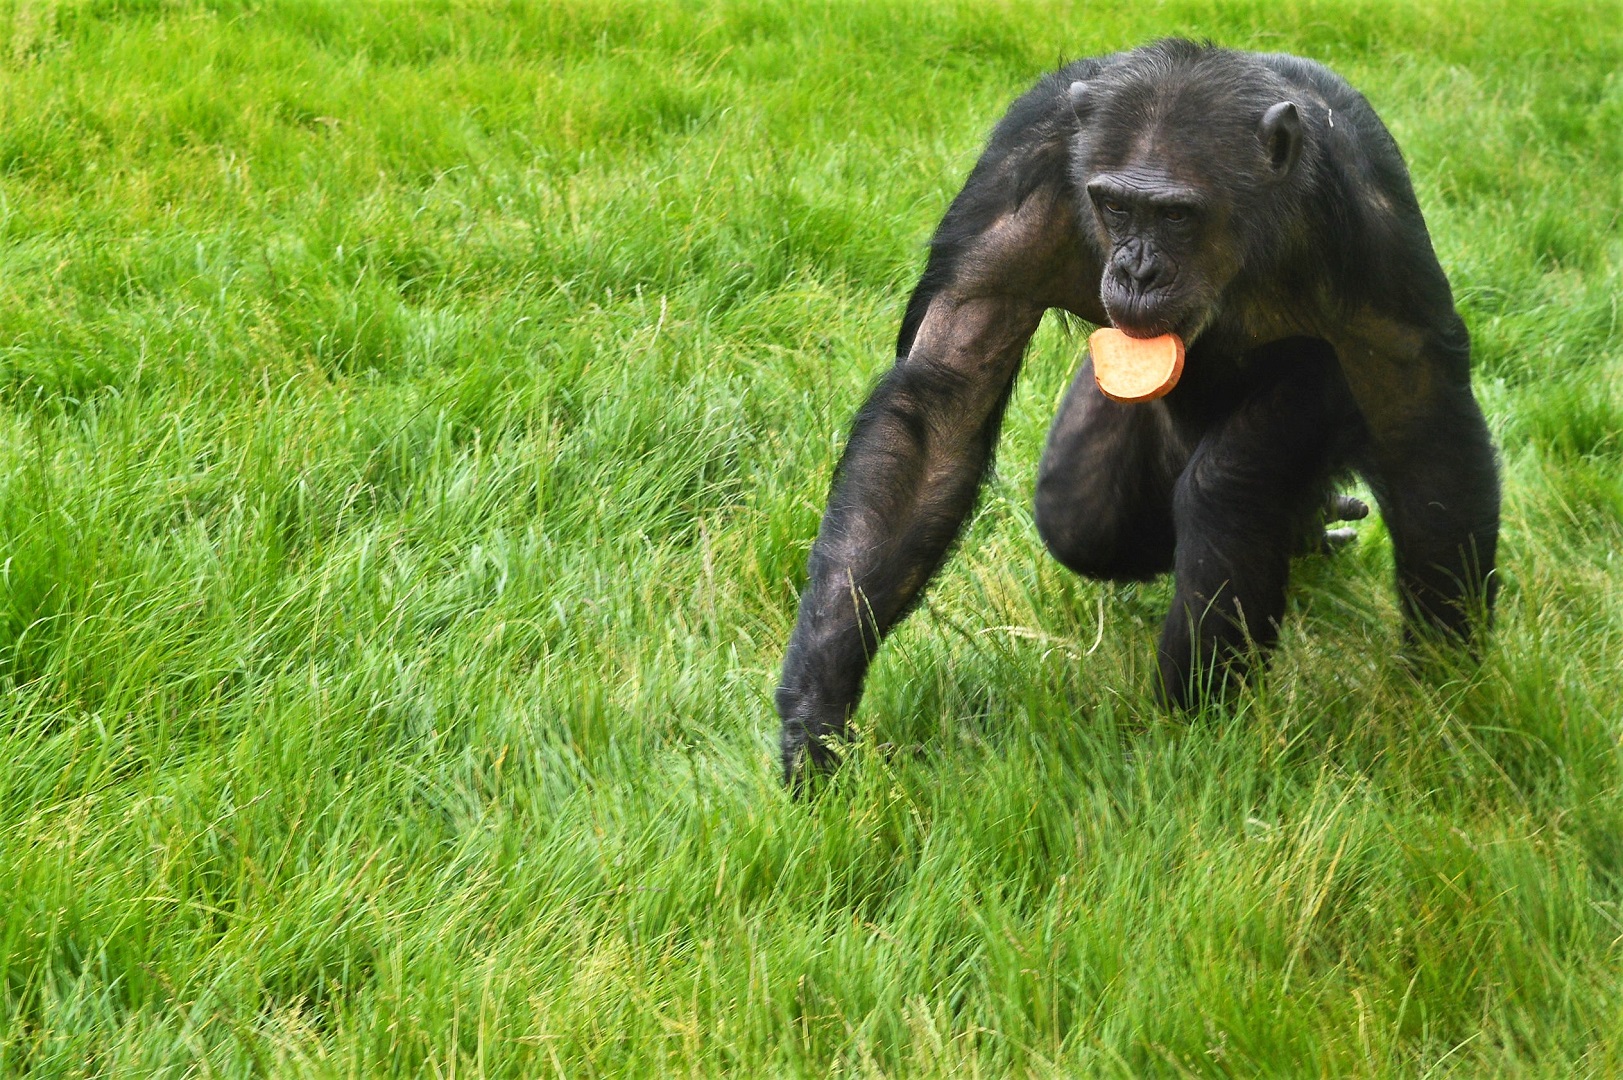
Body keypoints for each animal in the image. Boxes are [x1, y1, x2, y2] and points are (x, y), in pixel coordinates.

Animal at [776, 40, 1499, 786]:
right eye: (1115, 207)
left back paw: (1197, 724)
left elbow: (1420, 418)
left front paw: (1442, 690)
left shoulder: (1366, 217)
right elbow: (943, 398)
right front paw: (816, 716)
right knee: (1083, 515)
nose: (1137, 270)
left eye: (1176, 215)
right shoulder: (1013, 187)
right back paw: (1306, 529)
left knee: (1230, 488)